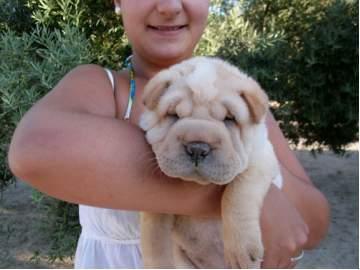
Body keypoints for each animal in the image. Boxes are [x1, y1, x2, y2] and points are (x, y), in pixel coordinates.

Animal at [138, 56, 278, 268]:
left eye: (230, 119)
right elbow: (154, 234)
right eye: (174, 115)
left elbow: (239, 193)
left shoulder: (262, 158)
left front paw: (242, 251)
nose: (197, 148)